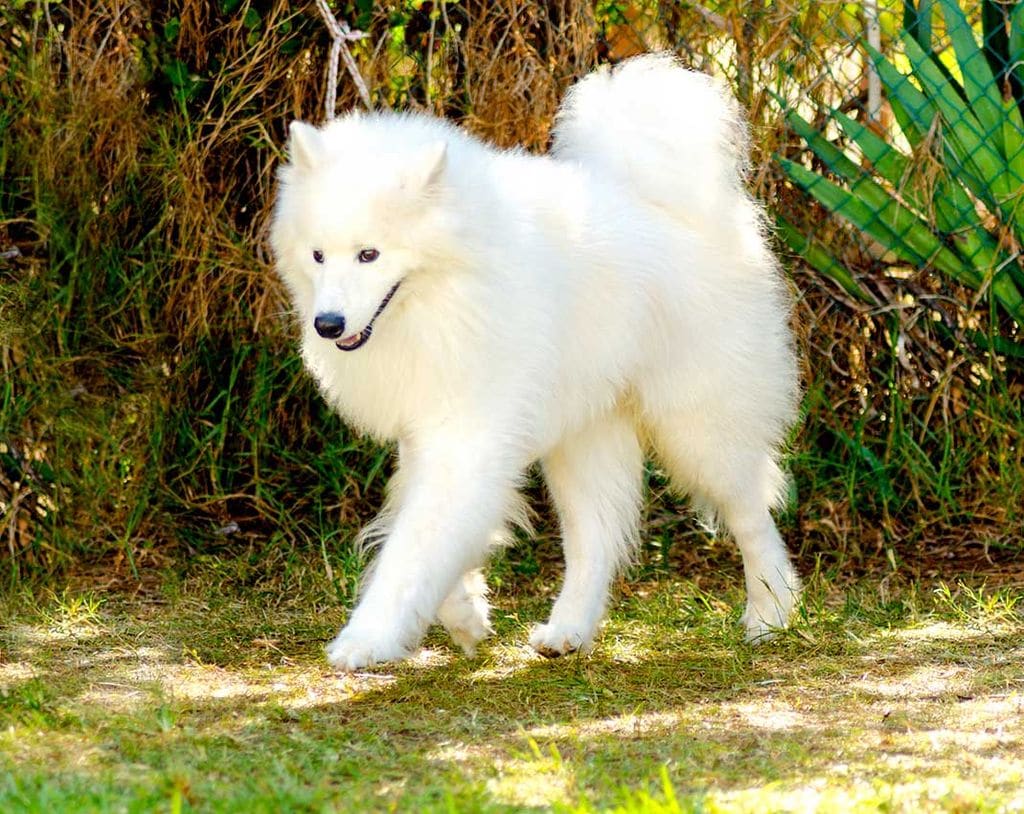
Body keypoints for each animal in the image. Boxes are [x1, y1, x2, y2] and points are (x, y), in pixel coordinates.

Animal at [270, 54, 798, 671]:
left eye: (369, 254)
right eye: (318, 255)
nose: (327, 324)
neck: (453, 286)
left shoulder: (467, 437)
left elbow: (415, 546)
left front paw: (367, 638)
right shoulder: (430, 435)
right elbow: (424, 530)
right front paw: (465, 617)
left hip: (698, 431)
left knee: (752, 513)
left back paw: (770, 615)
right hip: (584, 437)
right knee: (596, 539)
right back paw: (569, 630)